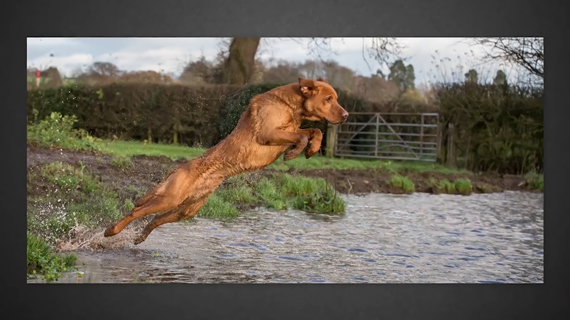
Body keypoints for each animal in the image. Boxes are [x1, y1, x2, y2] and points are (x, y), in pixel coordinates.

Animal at [104, 76, 348, 244]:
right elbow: (302, 135)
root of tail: (178, 168)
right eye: (328, 99)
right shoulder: (268, 134)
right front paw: (295, 152)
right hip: (170, 198)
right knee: (136, 212)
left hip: (186, 210)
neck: (289, 106)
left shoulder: (291, 130)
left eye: (335, 99)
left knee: (154, 220)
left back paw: (140, 238)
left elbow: (315, 131)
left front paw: (310, 149)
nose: (346, 116)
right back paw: (111, 231)